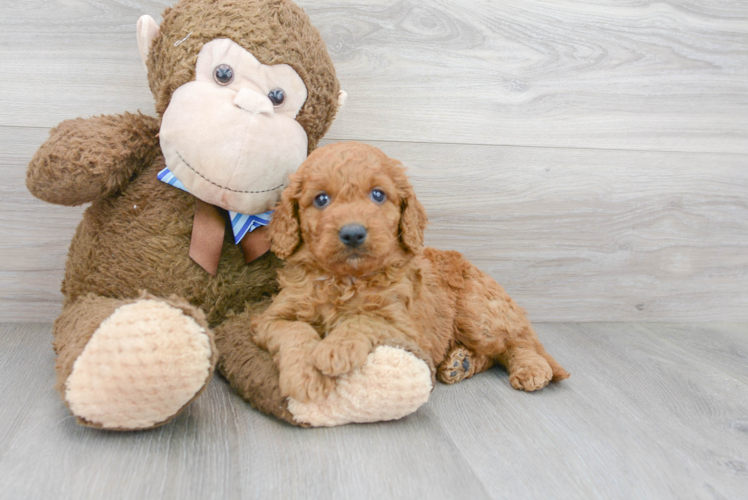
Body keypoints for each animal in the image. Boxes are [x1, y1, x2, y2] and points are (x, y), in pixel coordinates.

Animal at [254, 141, 568, 402]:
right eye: (321, 199)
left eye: (378, 195)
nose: (353, 233)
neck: (346, 279)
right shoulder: (271, 318)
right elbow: (295, 330)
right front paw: (306, 377)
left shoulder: (406, 328)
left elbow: (363, 319)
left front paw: (335, 350)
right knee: (492, 355)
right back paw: (460, 363)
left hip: (477, 313)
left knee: (517, 342)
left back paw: (531, 369)